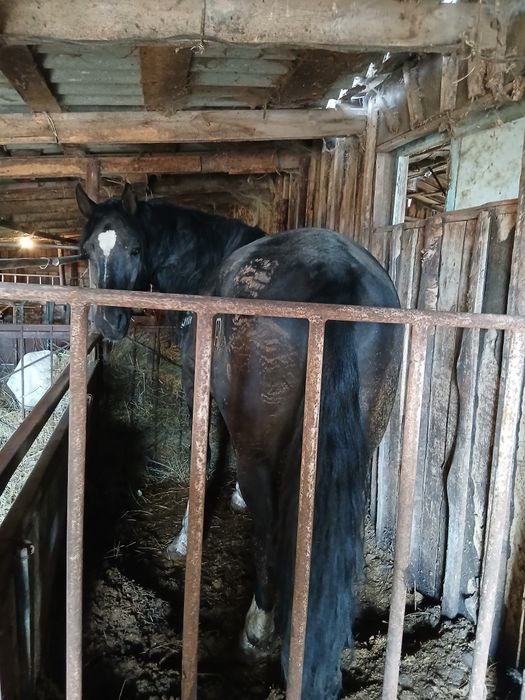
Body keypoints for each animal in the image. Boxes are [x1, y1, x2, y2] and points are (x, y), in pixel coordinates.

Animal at [76, 183, 403, 699]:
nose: (108, 322)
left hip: (258, 450)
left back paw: (257, 627)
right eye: (89, 250)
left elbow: (208, 452)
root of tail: (336, 277)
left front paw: (185, 538)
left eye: (133, 248)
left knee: (268, 523)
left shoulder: (198, 385)